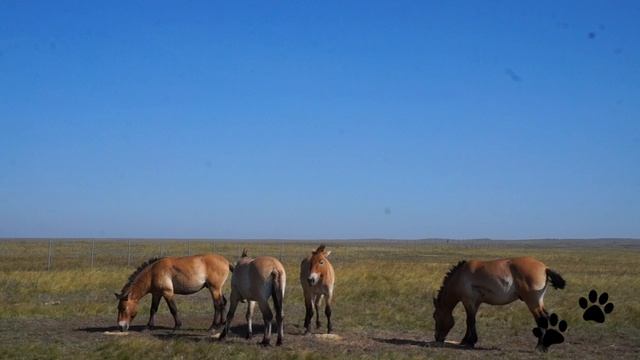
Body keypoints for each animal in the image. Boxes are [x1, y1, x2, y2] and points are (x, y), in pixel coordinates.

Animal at [436, 256, 564, 348]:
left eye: (435, 317)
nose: (437, 338)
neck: (460, 275)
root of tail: (545, 267)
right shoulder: (475, 304)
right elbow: (471, 321)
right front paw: (465, 340)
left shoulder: (469, 302)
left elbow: (470, 321)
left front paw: (471, 342)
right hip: (539, 302)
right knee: (546, 317)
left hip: (533, 303)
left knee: (541, 319)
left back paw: (540, 346)